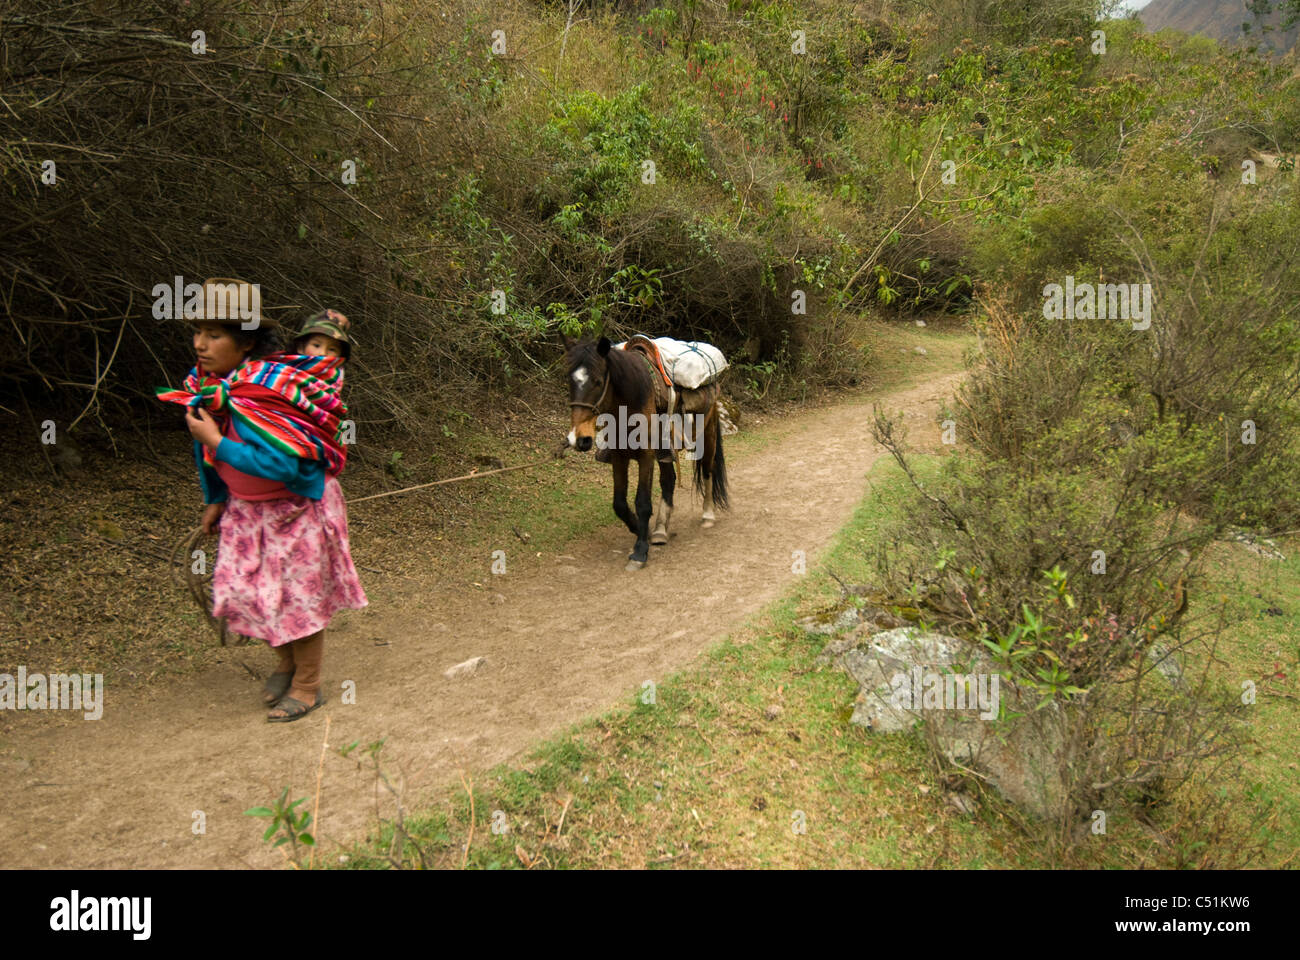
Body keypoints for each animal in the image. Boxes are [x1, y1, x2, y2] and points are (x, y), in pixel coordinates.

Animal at [561, 335, 733, 567]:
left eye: (597, 381)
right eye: (570, 381)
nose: (580, 439)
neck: (629, 403)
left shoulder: (646, 455)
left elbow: (642, 502)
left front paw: (640, 551)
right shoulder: (619, 456)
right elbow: (619, 503)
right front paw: (642, 531)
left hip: (707, 436)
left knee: (707, 470)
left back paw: (707, 516)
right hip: (665, 451)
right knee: (668, 480)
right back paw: (660, 530)